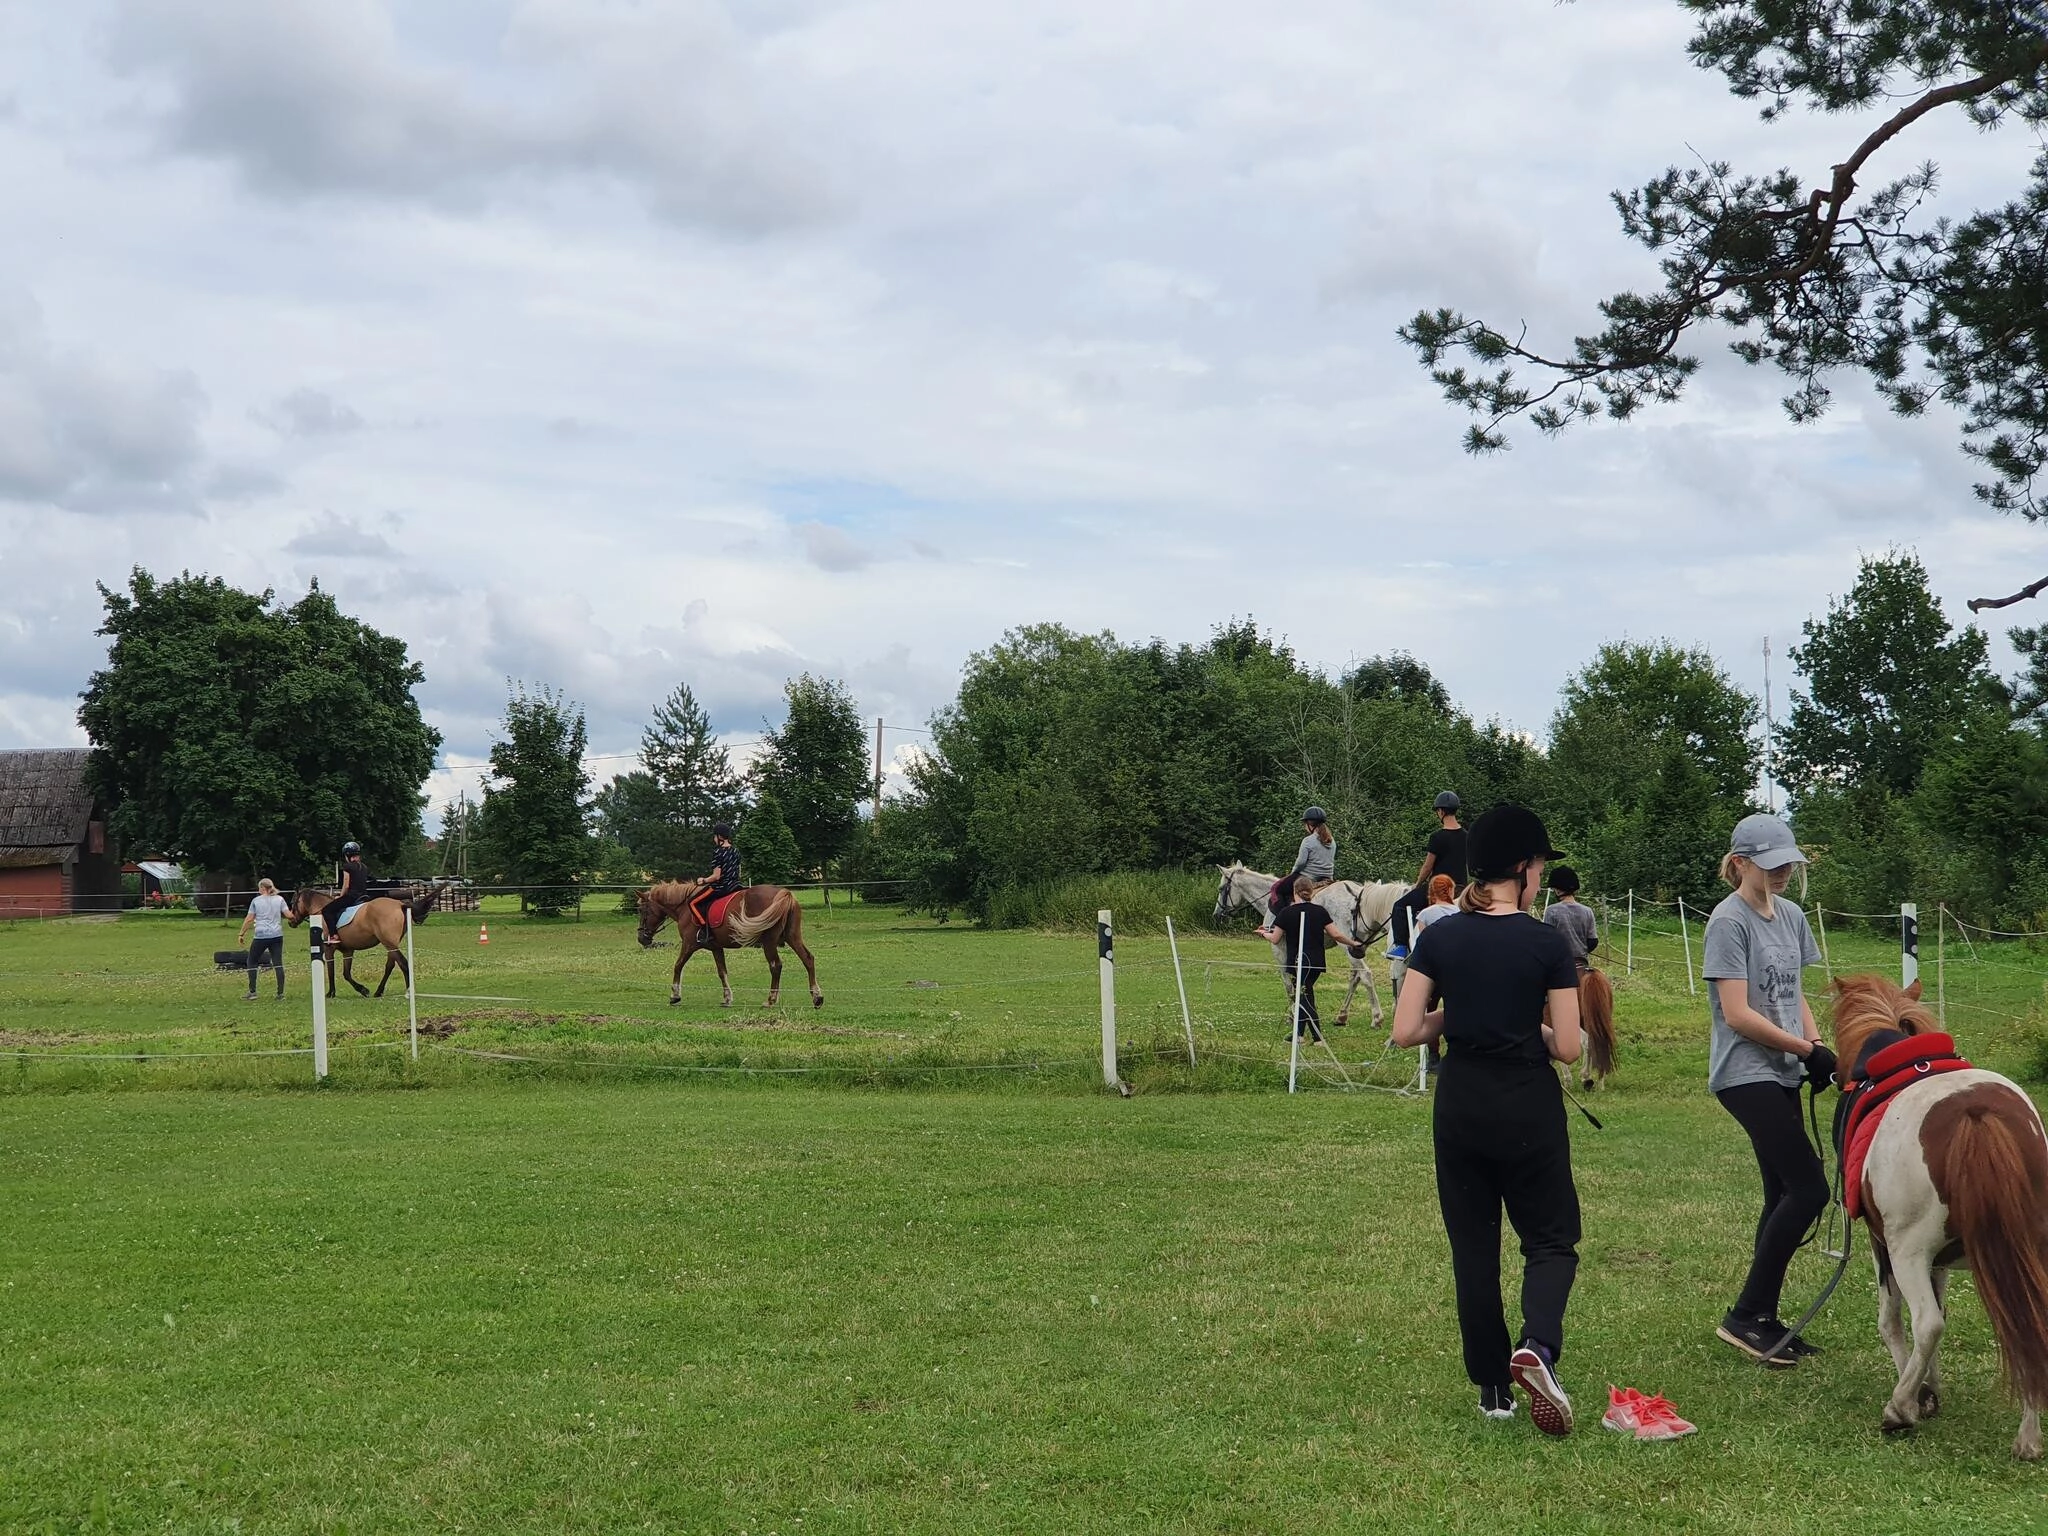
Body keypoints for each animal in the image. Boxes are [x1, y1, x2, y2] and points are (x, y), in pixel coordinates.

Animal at [285, 883, 437, 998]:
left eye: (292, 902)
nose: (291, 922)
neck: (321, 912)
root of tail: (399, 904)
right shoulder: (348, 951)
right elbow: (346, 973)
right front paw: (363, 990)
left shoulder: (329, 949)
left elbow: (331, 970)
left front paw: (330, 993)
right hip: (391, 944)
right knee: (390, 965)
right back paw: (378, 991)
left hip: (389, 943)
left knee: (403, 963)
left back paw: (408, 991)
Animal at [636, 880, 823, 1010]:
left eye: (642, 910)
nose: (641, 938)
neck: (684, 907)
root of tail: (785, 893)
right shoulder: (716, 948)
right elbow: (722, 972)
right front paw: (727, 999)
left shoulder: (689, 945)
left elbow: (678, 966)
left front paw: (675, 996)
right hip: (793, 937)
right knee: (808, 959)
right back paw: (817, 998)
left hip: (769, 941)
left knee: (775, 966)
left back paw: (770, 1001)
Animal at [1212, 862, 1409, 1027]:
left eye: (1221, 888)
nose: (1217, 914)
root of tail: (1360, 893)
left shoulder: (1280, 950)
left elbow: (1288, 982)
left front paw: (1293, 1016)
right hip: (1357, 947)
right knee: (1356, 976)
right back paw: (1342, 1015)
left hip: (1348, 946)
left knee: (1365, 974)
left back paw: (1376, 1017)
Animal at [1830, 972, 2048, 1458]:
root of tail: (1976, 1111)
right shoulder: (1940, 1260)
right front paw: (1930, 1389)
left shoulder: (1885, 1248)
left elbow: (1896, 1322)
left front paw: (1916, 1397)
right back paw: (2028, 1438)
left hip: (1906, 1251)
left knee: (1926, 1321)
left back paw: (1897, 1410)